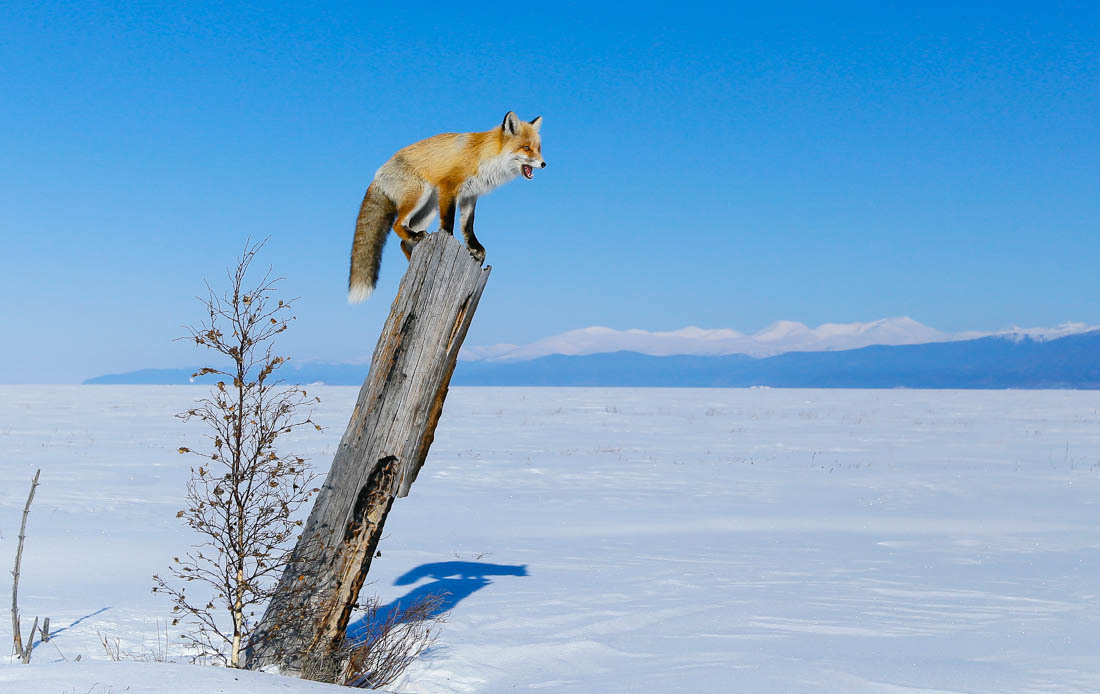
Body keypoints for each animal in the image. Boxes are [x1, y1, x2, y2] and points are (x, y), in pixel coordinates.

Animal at [347, 111, 545, 301]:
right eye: (526, 148)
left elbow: (468, 226)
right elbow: (448, 222)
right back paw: (415, 240)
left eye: (538, 149)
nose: (544, 164)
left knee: (404, 241)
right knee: (397, 224)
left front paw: (475, 248)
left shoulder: (470, 196)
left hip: (427, 210)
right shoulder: (448, 187)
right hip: (420, 195)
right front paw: (449, 241)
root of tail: (377, 174)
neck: (486, 158)